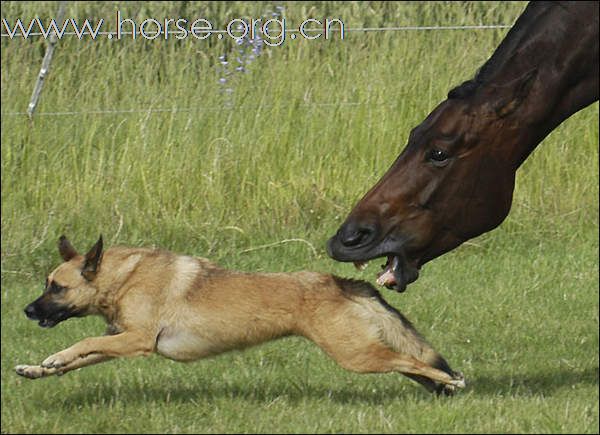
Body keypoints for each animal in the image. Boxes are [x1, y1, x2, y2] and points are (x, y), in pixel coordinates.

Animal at [12, 237, 464, 396]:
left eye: (56, 288)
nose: (27, 310)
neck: (123, 277)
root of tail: (337, 281)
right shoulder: (118, 342)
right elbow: (78, 358)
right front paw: (37, 369)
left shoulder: (135, 341)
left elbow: (82, 342)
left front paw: (52, 358)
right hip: (363, 351)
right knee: (410, 364)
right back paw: (441, 386)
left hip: (355, 356)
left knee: (412, 362)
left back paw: (453, 380)